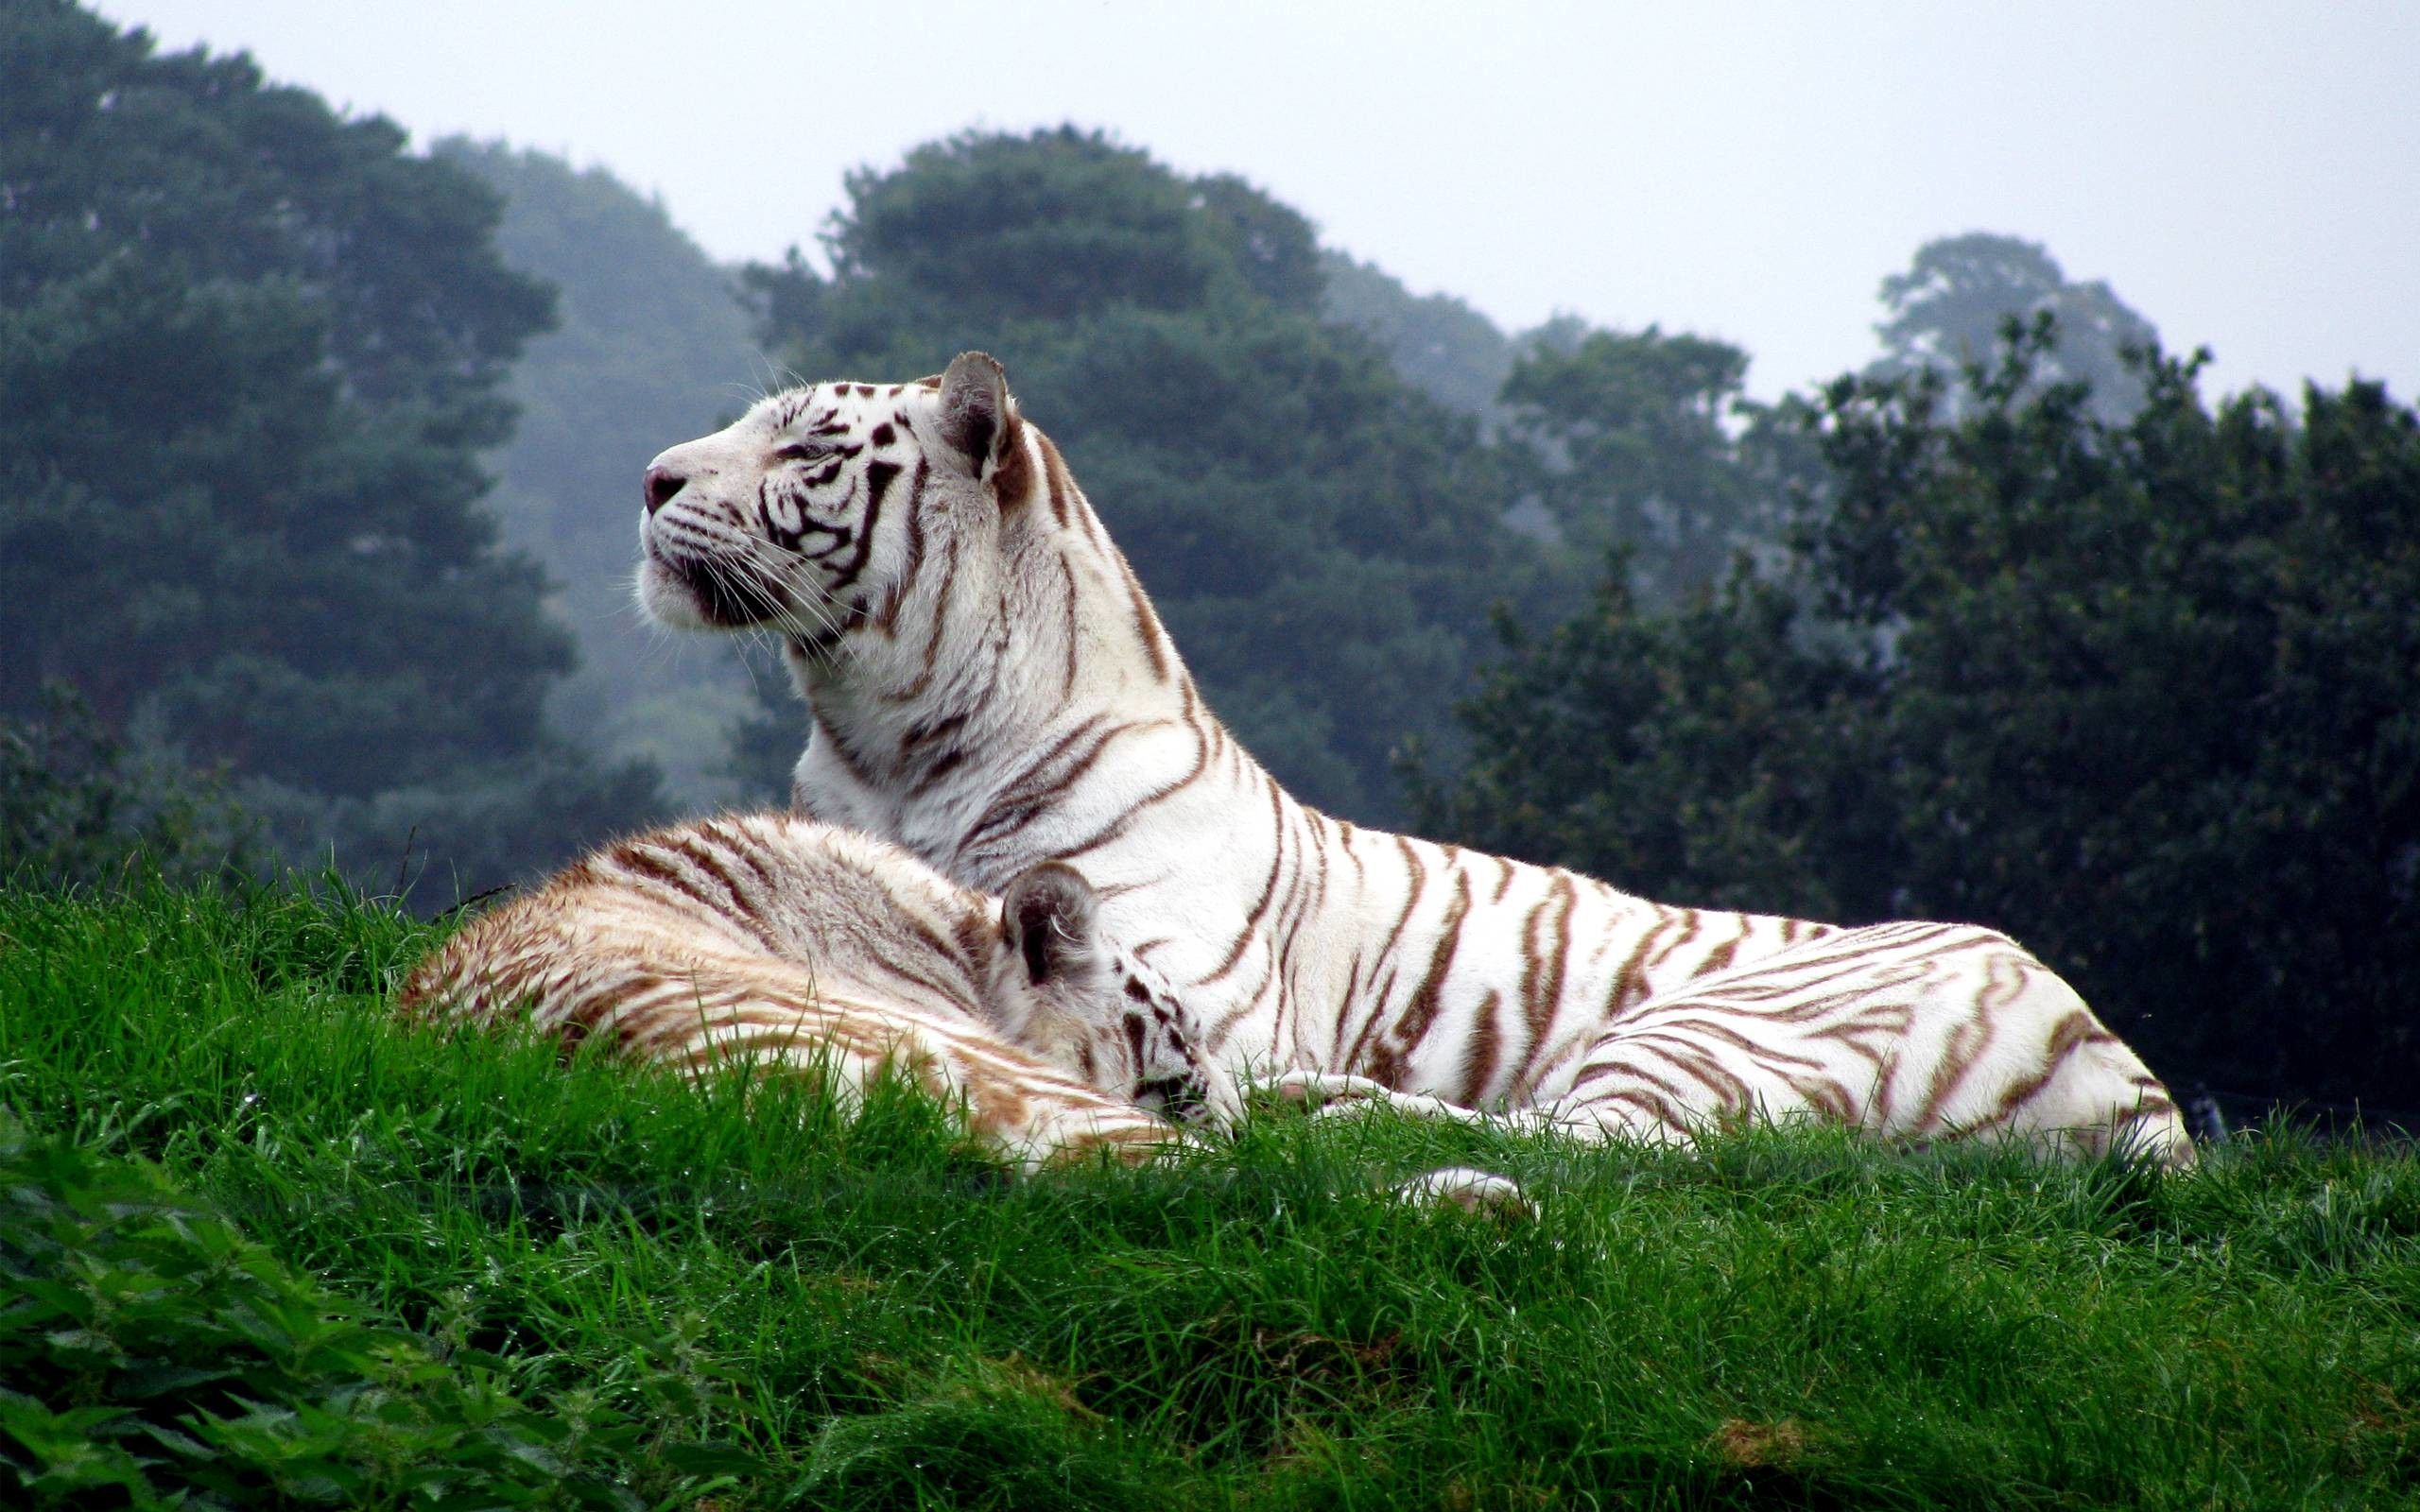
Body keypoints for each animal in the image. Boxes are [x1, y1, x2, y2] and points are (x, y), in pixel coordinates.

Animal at [632, 352, 2193, 1168]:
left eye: (809, 448)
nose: (649, 478)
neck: (883, 740)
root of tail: (2136, 1084)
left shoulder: (1185, 980)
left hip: (1725, 1021)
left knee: (1610, 1147)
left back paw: (1337, 1108)